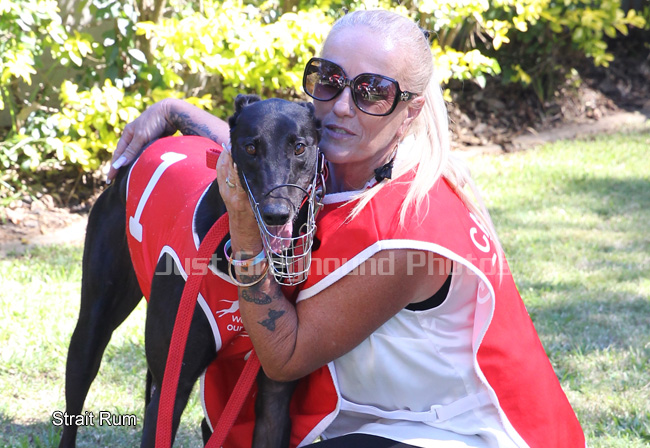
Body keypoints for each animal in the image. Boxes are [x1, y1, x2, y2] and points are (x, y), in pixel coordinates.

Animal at [58, 94, 322, 448]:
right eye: (251, 148)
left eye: (299, 147)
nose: (276, 213)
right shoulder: (172, 388)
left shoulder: (274, 393)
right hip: (93, 325)